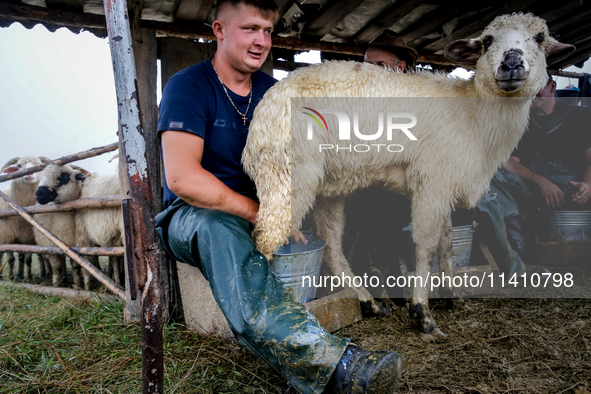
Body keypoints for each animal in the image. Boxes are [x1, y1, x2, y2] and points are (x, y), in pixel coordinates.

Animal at [243, 13, 576, 338]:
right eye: (487, 41)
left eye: (540, 38)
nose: (511, 64)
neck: (474, 115)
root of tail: (263, 107)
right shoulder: (431, 181)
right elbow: (426, 244)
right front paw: (422, 313)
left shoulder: (445, 182)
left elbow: (446, 242)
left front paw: (453, 297)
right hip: (288, 172)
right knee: (264, 242)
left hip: (327, 184)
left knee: (331, 246)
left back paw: (369, 303)